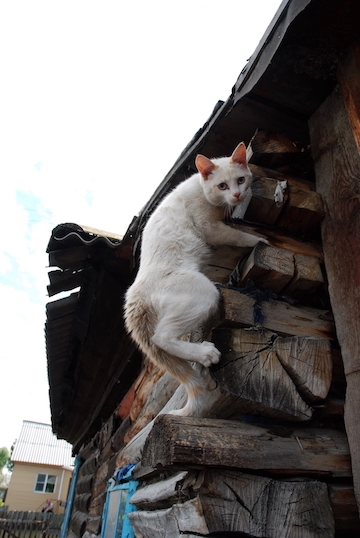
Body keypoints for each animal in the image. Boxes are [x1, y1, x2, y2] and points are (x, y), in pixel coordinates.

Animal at [125, 142, 266, 414]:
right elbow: (239, 236)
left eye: (240, 180)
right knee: (162, 337)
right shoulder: (210, 227)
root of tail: (134, 295)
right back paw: (205, 354)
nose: (236, 194)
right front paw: (261, 240)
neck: (202, 190)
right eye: (222, 186)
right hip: (204, 293)